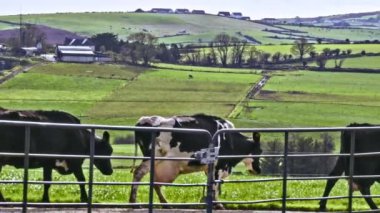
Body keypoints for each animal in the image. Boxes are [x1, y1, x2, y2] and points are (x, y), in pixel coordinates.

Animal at [127, 114, 262, 209]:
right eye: (260, 151)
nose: (258, 170)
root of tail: (143, 120)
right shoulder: (219, 165)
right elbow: (216, 185)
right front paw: (218, 204)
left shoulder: (211, 167)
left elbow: (211, 185)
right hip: (153, 156)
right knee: (139, 173)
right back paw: (133, 202)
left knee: (154, 182)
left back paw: (165, 203)